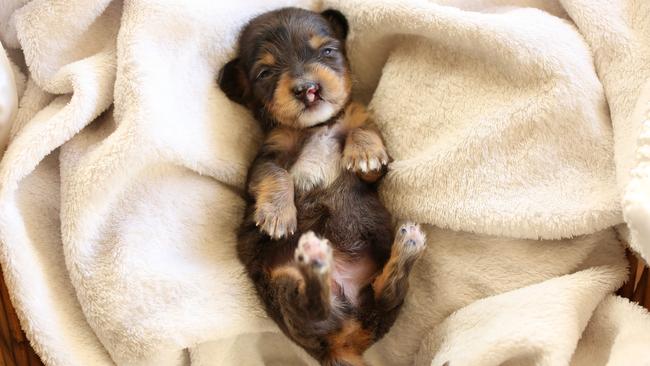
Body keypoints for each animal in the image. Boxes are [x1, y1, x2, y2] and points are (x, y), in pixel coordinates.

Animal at [218, 7, 426, 364]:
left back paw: (406, 246)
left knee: (386, 294)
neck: (319, 126)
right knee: (315, 308)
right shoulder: (265, 157)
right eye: (265, 73)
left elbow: (364, 132)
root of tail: (346, 343)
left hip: (375, 307)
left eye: (327, 51)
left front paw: (364, 153)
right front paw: (278, 216)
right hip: (283, 289)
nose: (307, 88)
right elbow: (275, 175)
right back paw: (317, 260)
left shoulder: (365, 131)